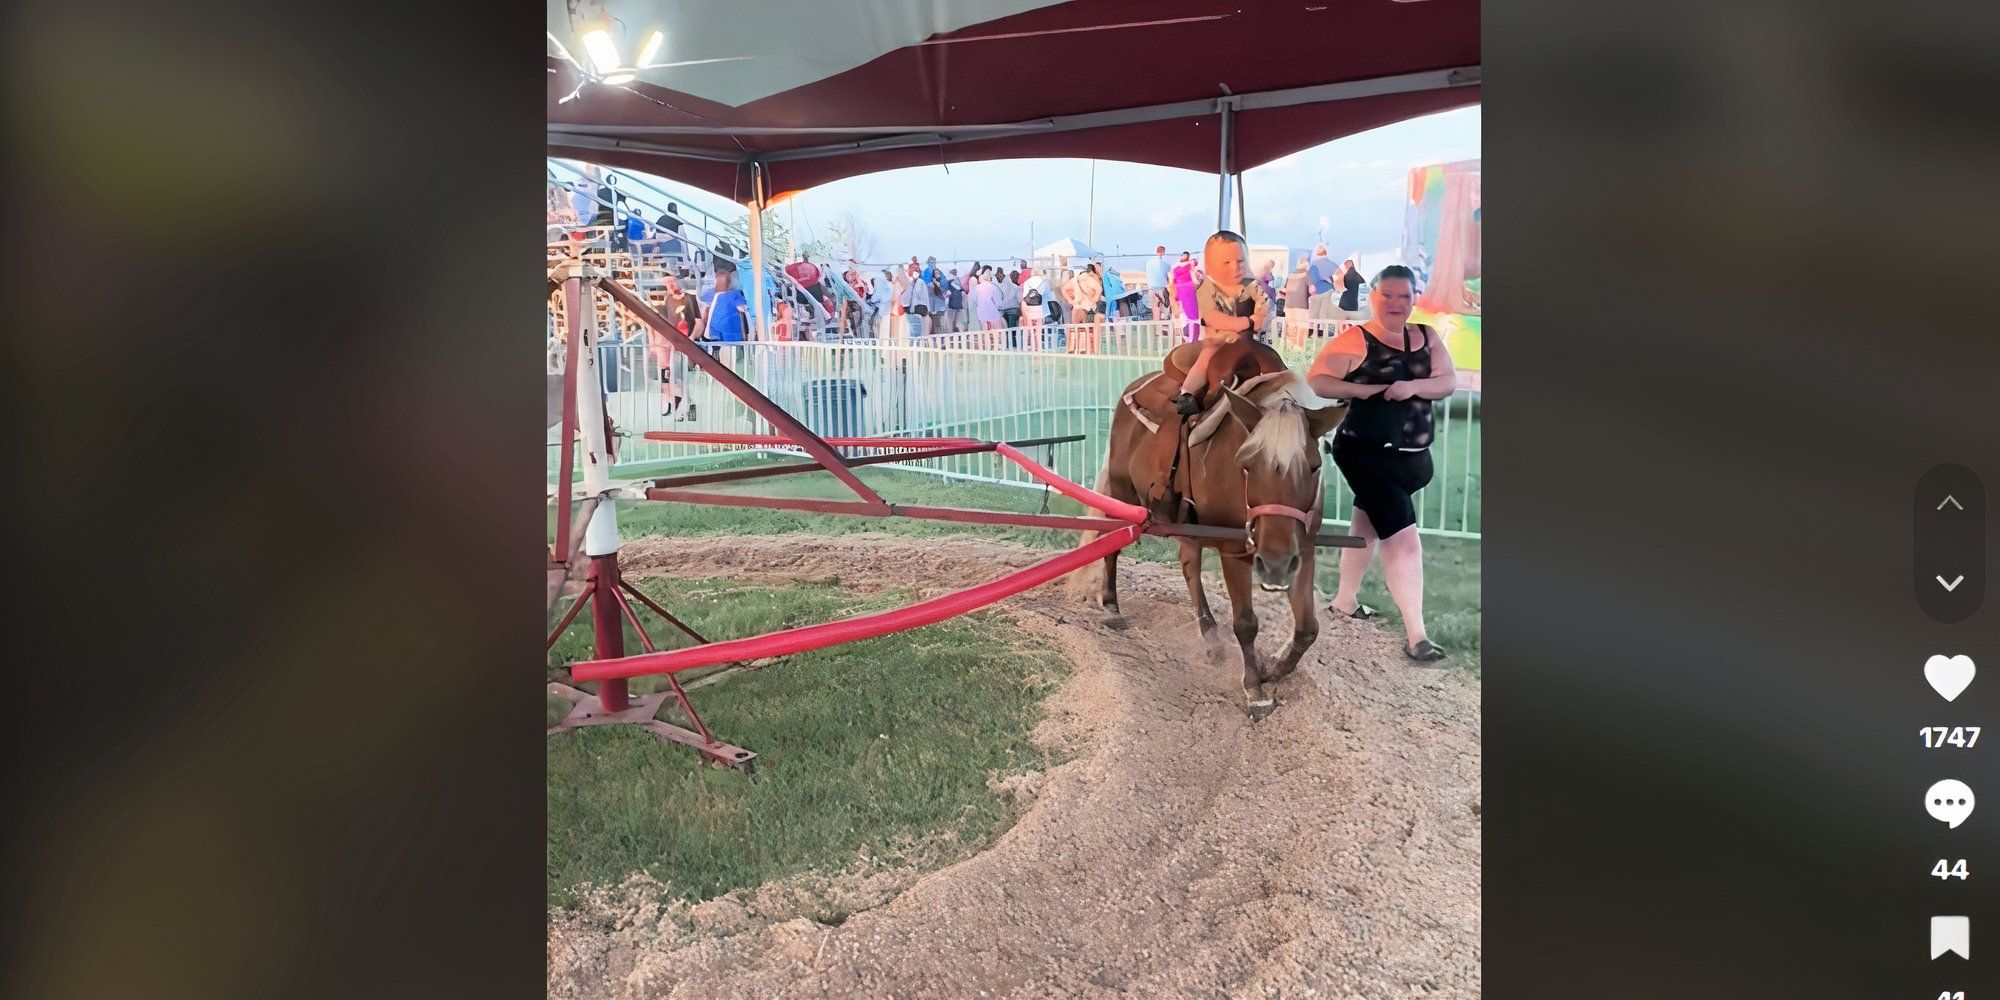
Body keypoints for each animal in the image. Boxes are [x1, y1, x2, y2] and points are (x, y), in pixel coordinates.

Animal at [1088, 370, 1352, 712]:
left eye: (1315, 466)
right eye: (1246, 466)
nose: (1274, 564)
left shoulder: (1303, 553)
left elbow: (1308, 628)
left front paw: (1273, 669)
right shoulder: (1234, 552)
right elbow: (1246, 624)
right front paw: (1254, 688)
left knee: (1189, 565)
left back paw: (1211, 636)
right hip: (1122, 491)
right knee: (1113, 544)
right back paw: (1111, 605)